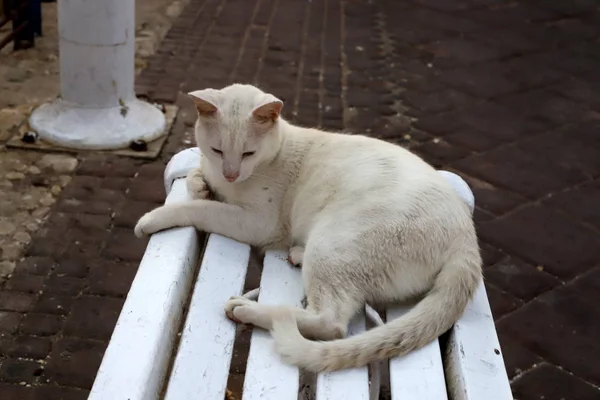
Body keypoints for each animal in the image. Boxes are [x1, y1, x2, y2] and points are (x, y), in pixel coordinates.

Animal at [134, 83, 480, 374]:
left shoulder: (257, 223)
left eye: (248, 153)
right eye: (218, 150)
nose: (231, 173)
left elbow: (198, 209)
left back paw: (248, 310)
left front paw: (153, 218)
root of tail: (467, 240)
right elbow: (197, 177)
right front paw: (202, 185)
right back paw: (295, 255)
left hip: (333, 243)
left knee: (331, 324)